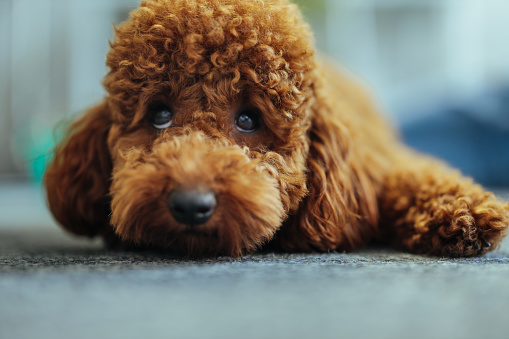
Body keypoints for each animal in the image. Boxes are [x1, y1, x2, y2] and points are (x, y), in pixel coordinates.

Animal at [44, 0, 508, 256]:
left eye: (249, 119)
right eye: (159, 114)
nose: (190, 205)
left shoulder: (380, 163)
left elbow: (417, 177)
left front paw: (465, 213)